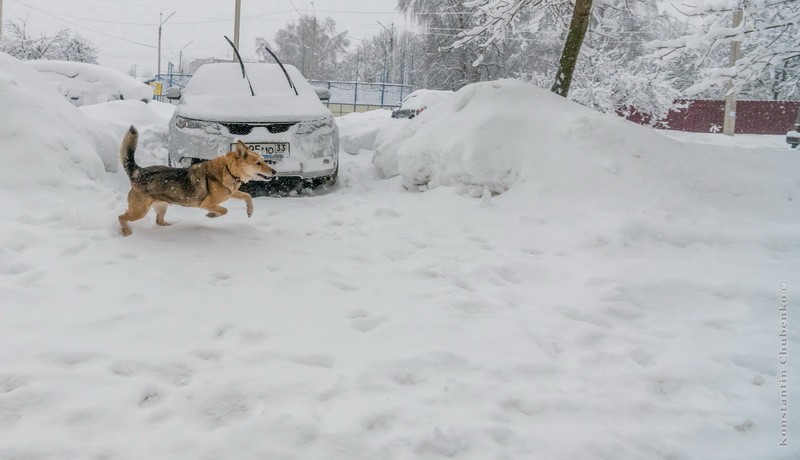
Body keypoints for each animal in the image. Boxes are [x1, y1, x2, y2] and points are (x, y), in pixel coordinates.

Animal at [114, 125, 274, 237]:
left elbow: (247, 196)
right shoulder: (207, 204)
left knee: (159, 221)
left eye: (263, 160)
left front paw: (249, 211)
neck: (228, 169)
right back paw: (127, 233)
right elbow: (224, 210)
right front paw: (212, 215)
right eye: (258, 163)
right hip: (139, 211)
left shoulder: (231, 192)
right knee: (121, 217)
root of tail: (137, 172)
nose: (274, 172)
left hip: (161, 207)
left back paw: (170, 228)